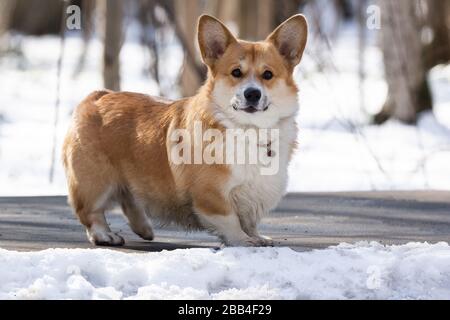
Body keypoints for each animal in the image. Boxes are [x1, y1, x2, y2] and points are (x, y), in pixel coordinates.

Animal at [63, 13, 308, 246]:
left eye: (268, 75)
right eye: (236, 72)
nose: (252, 94)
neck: (249, 130)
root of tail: (96, 96)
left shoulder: (255, 194)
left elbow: (249, 222)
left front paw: (257, 236)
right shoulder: (212, 196)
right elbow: (231, 221)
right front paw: (243, 240)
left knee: (129, 201)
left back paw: (144, 228)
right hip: (96, 183)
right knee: (91, 213)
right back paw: (105, 235)